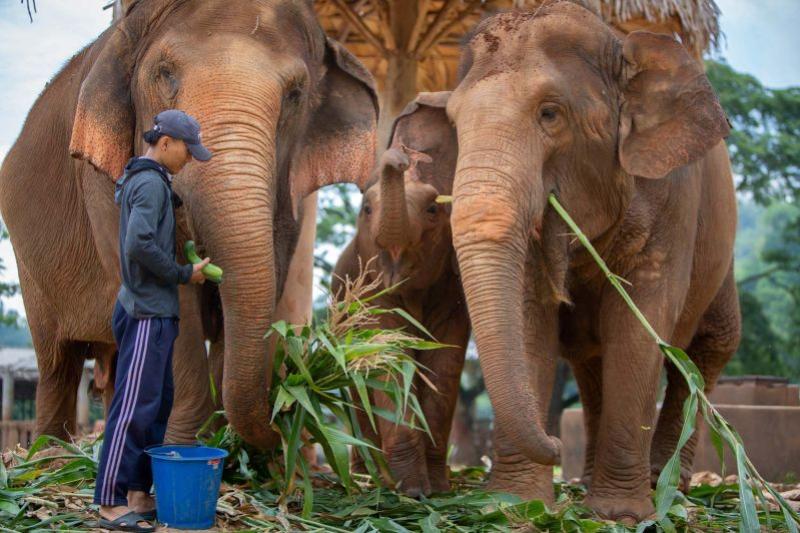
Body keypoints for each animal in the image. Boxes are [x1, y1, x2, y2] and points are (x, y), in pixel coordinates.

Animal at [0, 0, 377, 449]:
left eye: (295, 94)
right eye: (165, 74)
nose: (285, 414)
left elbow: (268, 277)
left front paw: (223, 445)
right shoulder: (102, 180)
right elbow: (163, 289)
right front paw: (184, 445)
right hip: (30, 272)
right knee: (58, 362)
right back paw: (50, 458)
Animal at [332, 92, 469, 496]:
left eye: (433, 209)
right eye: (366, 208)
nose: (401, 156)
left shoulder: (452, 288)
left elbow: (444, 360)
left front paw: (436, 490)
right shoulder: (368, 287)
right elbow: (388, 355)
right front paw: (412, 492)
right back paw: (368, 479)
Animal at [446, 3, 740, 522]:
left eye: (550, 113)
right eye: (453, 122)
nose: (555, 442)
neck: (620, 47)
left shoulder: (674, 196)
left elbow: (638, 326)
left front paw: (622, 515)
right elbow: (531, 320)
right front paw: (515, 507)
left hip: (722, 266)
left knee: (706, 351)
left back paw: (666, 486)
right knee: (591, 363)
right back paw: (590, 483)